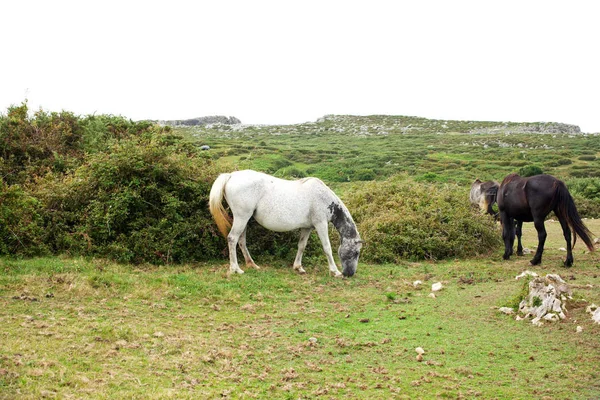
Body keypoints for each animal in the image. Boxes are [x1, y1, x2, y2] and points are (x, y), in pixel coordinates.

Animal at [209, 170, 364, 278]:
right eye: (356, 252)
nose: (349, 274)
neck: (323, 197)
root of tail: (231, 176)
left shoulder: (307, 228)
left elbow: (301, 246)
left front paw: (298, 267)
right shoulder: (321, 224)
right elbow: (327, 248)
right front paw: (335, 271)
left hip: (244, 219)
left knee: (241, 240)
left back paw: (252, 264)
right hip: (241, 218)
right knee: (232, 239)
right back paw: (235, 269)